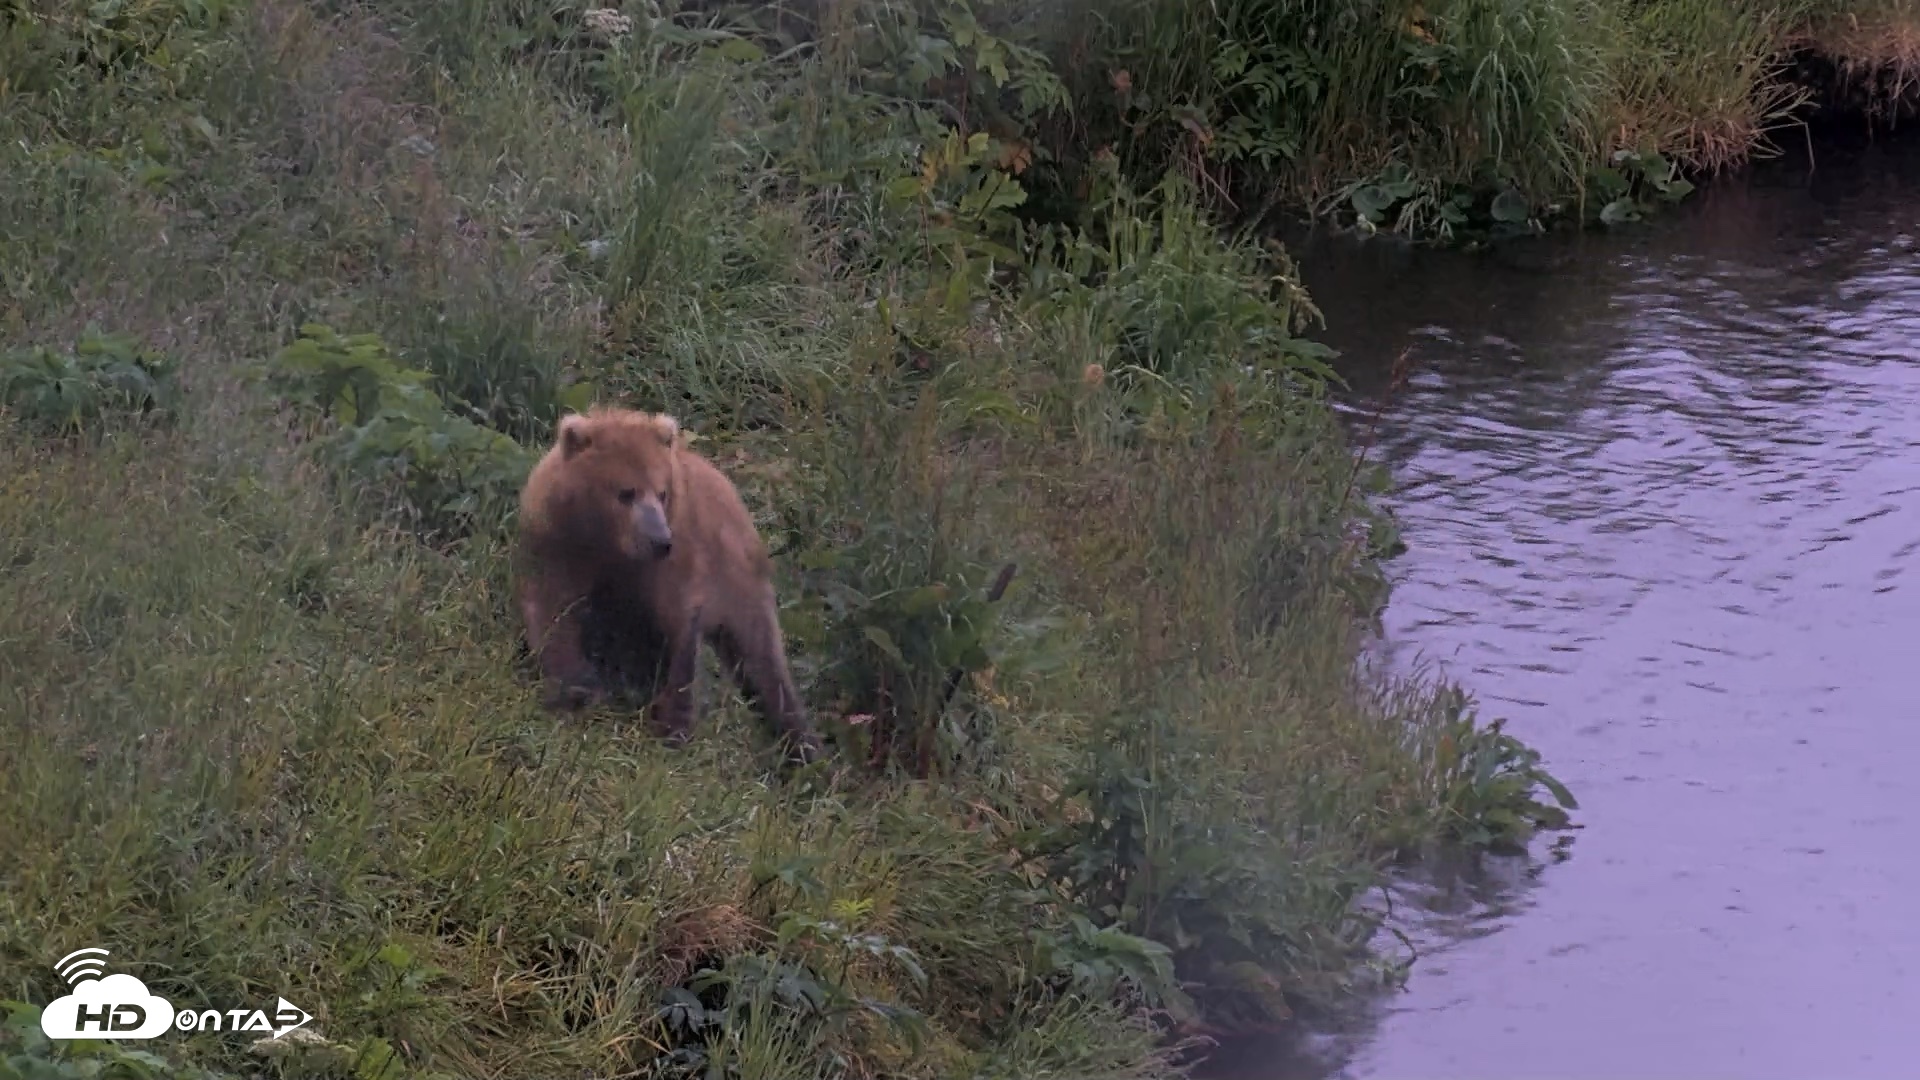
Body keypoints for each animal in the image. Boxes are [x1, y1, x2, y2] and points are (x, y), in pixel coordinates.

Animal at [514, 405, 822, 765]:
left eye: (661, 492)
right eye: (626, 492)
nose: (660, 541)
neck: (608, 545)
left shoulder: (673, 569)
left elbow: (678, 634)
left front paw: (671, 725)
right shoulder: (556, 544)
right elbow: (554, 615)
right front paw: (574, 691)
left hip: (739, 581)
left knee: (764, 666)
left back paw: (803, 748)